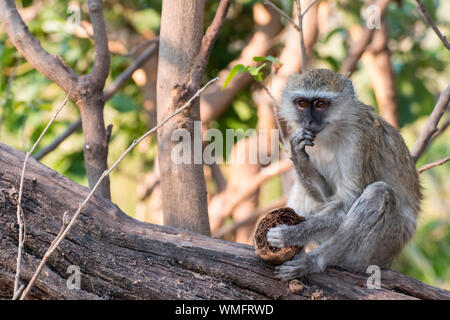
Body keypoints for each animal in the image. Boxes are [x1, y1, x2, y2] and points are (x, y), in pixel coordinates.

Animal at [266, 69, 420, 280]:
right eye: (302, 103)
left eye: (320, 104)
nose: (308, 121)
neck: (335, 130)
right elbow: (328, 197)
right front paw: (298, 154)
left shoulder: (360, 140)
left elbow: (347, 201)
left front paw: (290, 234)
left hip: (383, 247)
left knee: (378, 193)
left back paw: (314, 261)